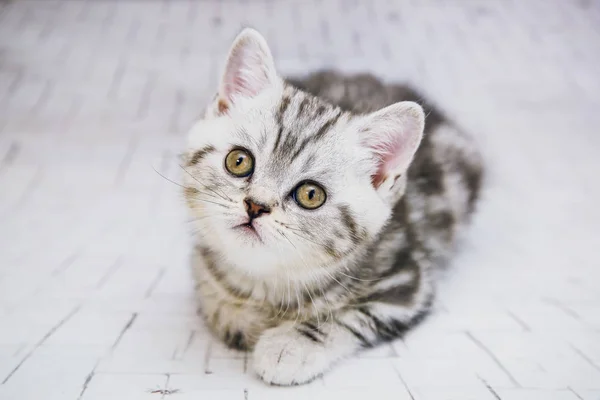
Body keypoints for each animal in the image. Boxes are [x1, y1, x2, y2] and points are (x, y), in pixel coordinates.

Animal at [183, 27, 482, 384]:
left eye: (311, 195)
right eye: (238, 161)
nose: (256, 206)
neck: (266, 280)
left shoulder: (407, 283)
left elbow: (346, 316)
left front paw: (289, 346)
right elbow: (211, 295)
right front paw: (238, 315)